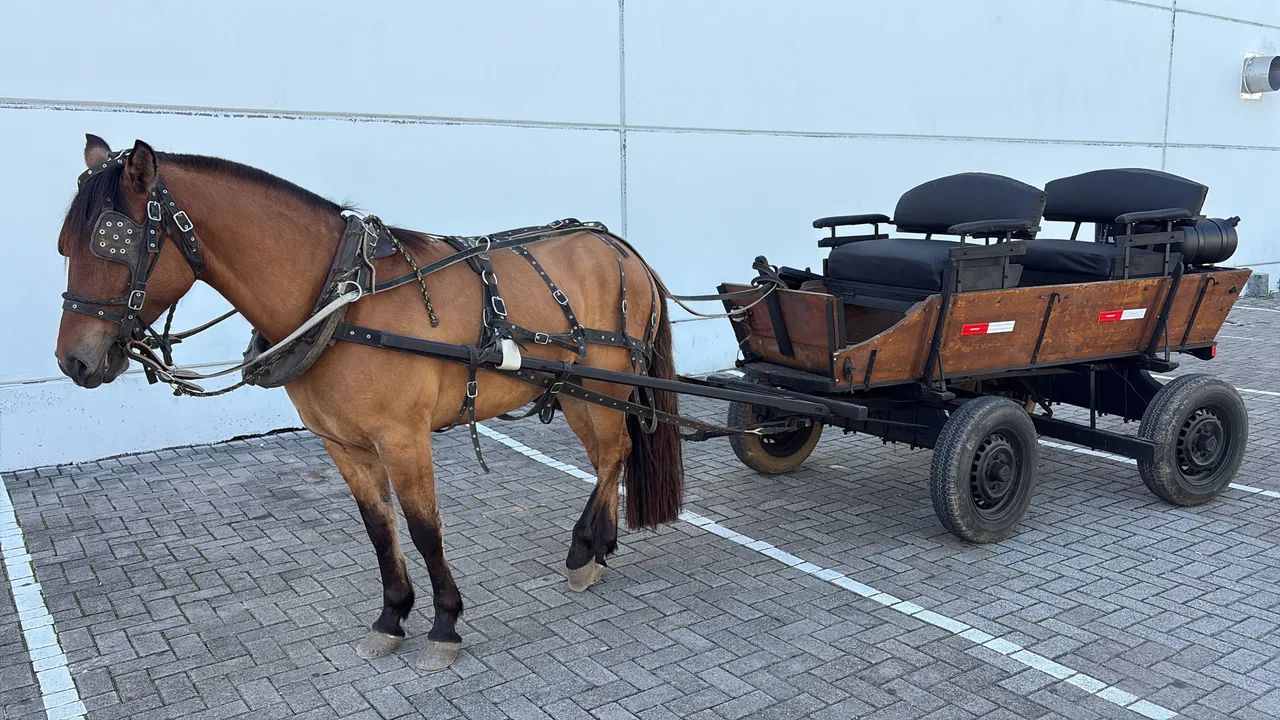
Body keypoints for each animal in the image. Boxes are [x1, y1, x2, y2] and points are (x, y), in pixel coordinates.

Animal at [53, 135, 684, 671]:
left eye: (114, 243)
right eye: (65, 246)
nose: (74, 361)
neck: (341, 302)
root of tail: (618, 246)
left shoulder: (402, 438)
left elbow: (424, 528)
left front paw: (445, 625)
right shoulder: (342, 443)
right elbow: (380, 528)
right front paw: (391, 617)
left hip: (608, 382)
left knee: (614, 451)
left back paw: (583, 550)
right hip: (575, 389)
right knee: (608, 456)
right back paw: (599, 547)